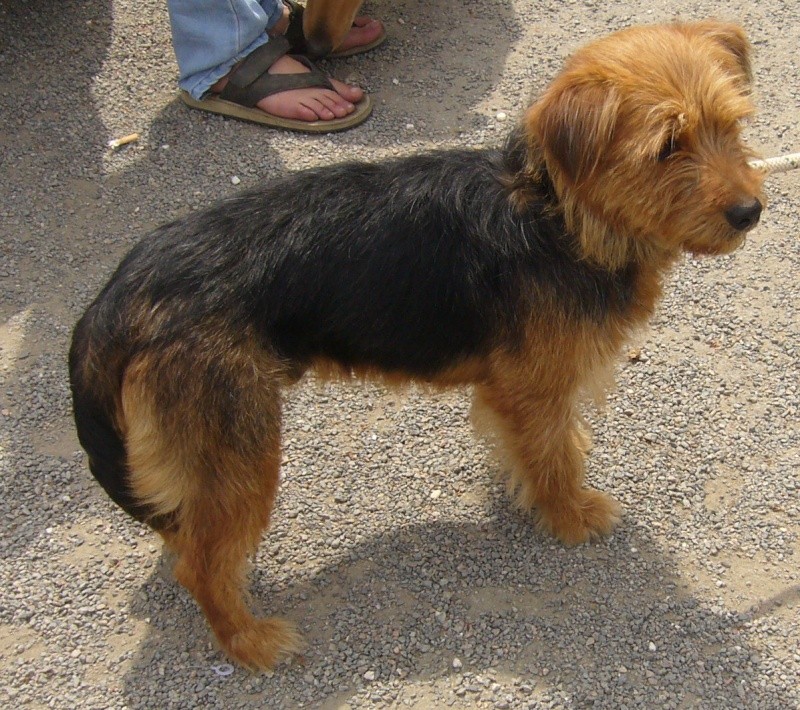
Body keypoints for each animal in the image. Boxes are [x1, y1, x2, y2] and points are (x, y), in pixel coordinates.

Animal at [67, 19, 764, 672]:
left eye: (730, 126)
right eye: (667, 148)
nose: (750, 212)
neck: (556, 213)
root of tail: (119, 296)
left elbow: (543, 447)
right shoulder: (532, 388)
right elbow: (551, 456)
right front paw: (569, 515)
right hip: (239, 451)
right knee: (202, 565)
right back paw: (249, 641)